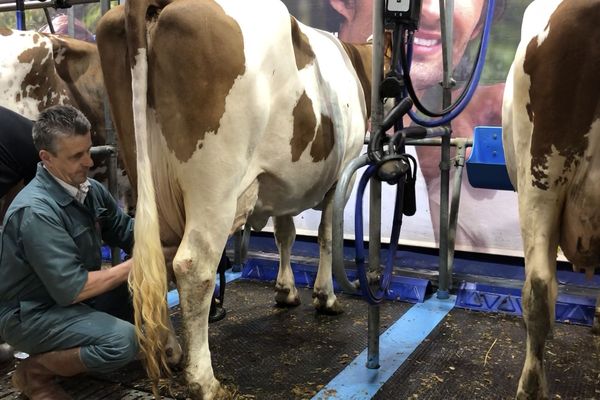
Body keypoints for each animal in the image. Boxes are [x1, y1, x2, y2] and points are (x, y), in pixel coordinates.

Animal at [96, 0, 372, 396]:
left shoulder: (281, 182)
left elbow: (285, 234)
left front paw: (286, 291)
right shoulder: (342, 175)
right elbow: (326, 235)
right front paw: (326, 296)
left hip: (143, 168)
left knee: (158, 260)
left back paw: (171, 351)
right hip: (215, 185)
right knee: (193, 266)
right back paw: (205, 381)